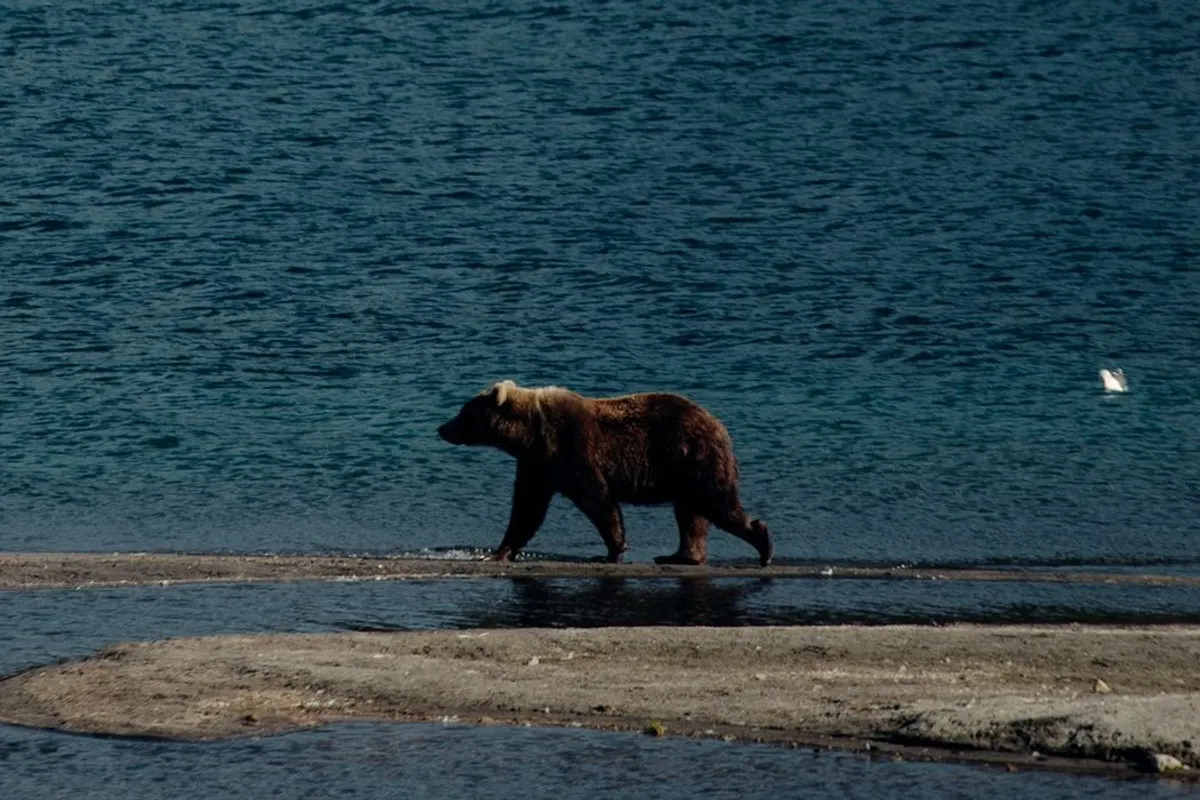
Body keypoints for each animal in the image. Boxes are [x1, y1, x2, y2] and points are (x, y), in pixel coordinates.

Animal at [436, 380, 773, 566]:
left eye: (463, 412)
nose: (442, 428)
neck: (530, 434)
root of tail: (719, 425)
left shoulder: (572, 448)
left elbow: (598, 499)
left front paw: (613, 550)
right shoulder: (537, 465)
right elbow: (526, 509)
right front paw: (499, 551)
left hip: (693, 457)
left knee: (715, 502)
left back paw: (762, 541)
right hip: (684, 469)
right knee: (692, 514)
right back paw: (680, 555)